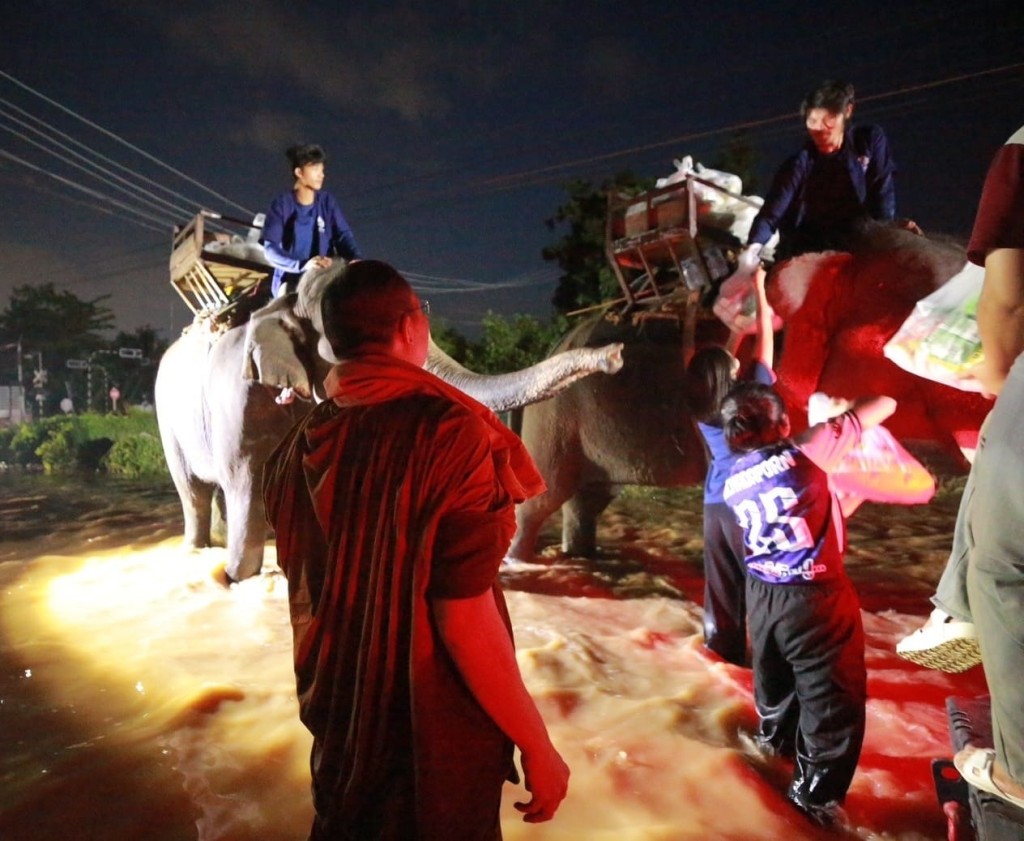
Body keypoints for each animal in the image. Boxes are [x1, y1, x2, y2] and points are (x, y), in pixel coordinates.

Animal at [153, 266, 622, 581]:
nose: (616, 353)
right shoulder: (239, 400)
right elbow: (245, 484)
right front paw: (236, 578)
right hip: (167, 419)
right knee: (195, 491)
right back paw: (199, 551)